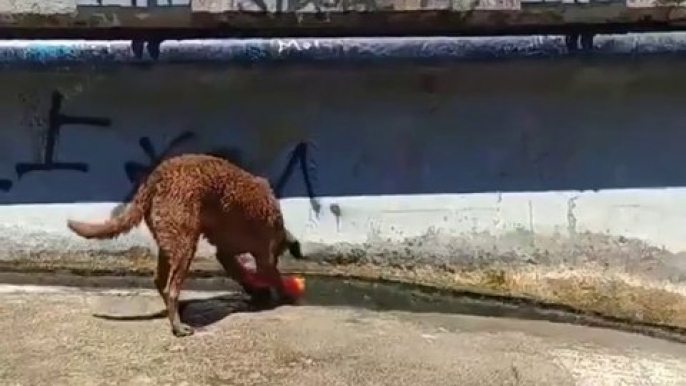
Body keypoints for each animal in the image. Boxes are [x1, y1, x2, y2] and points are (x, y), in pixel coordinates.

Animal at [68, 154, 304, 338]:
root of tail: (157, 175)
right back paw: (178, 326)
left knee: (161, 281)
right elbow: (272, 275)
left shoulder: (226, 254)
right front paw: (283, 296)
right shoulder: (265, 257)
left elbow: (243, 273)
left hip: (169, 242)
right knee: (171, 288)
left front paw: (256, 291)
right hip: (185, 244)